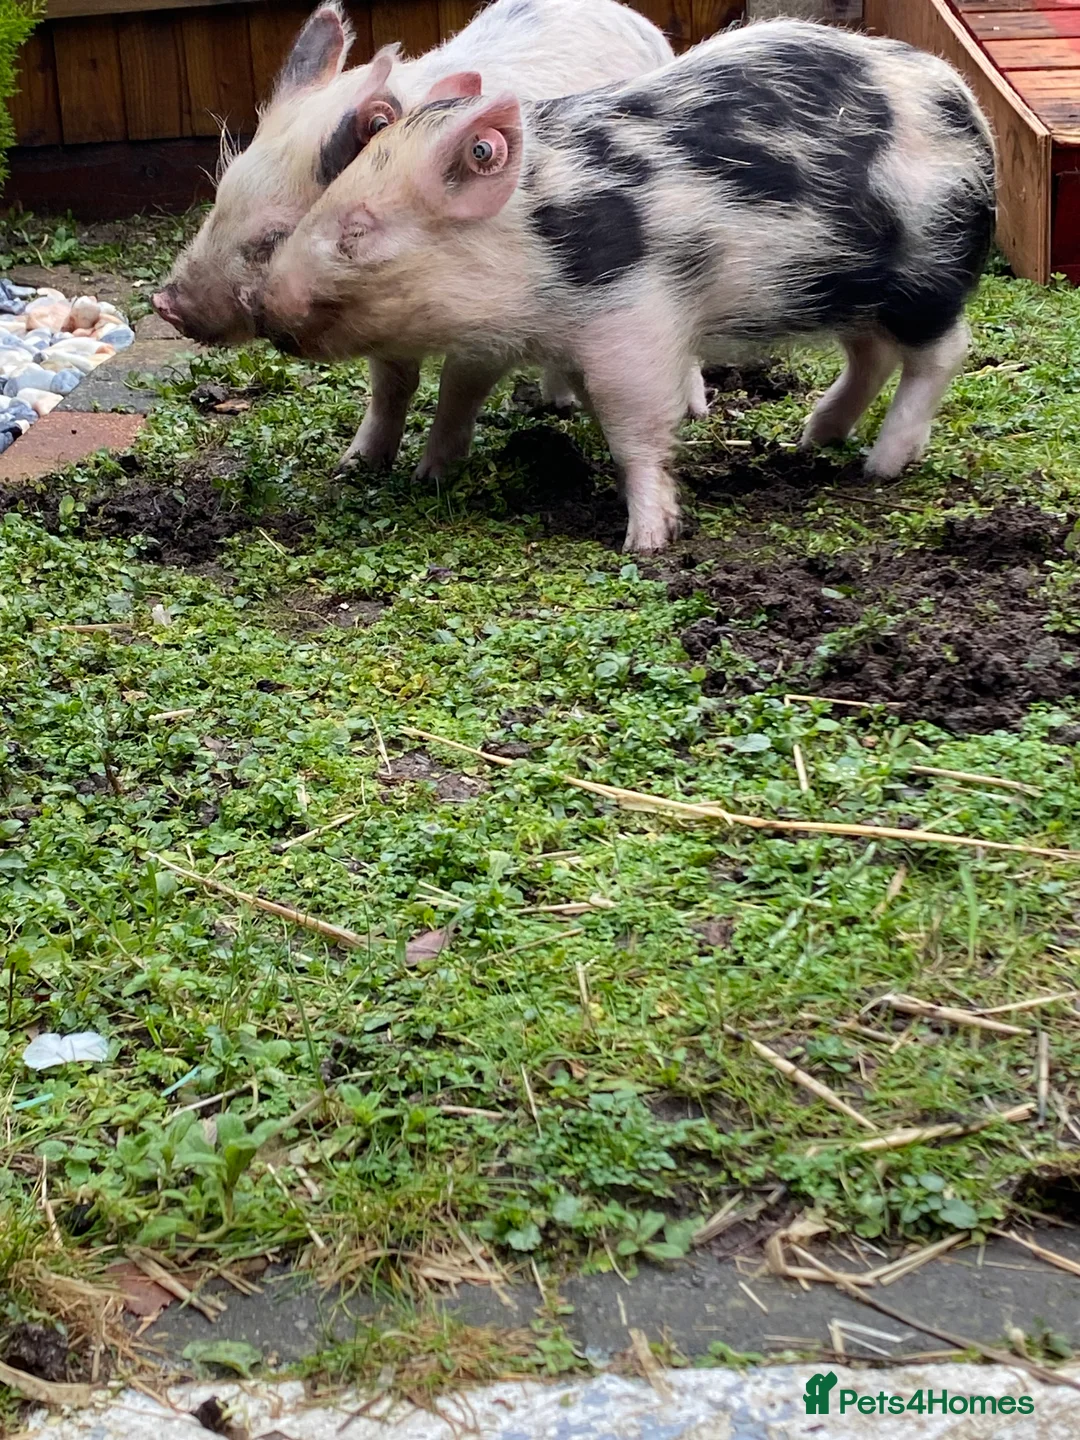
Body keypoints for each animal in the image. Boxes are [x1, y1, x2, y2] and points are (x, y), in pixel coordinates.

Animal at [153, 0, 707, 477]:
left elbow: (459, 388)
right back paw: (557, 404)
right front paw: (354, 466)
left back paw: (693, 410)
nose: (164, 303)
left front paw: (431, 476)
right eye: (222, 193)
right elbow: (391, 385)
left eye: (274, 236)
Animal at [258, 19, 996, 552]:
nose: (261, 304)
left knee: (942, 352)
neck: (538, 241)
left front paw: (645, 543)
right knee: (870, 355)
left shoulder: (632, 318)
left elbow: (631, 422)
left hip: (927, 267)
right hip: (845, 287)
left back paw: (881, 466)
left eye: (357, 231)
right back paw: (815, 438)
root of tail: (965, 106)